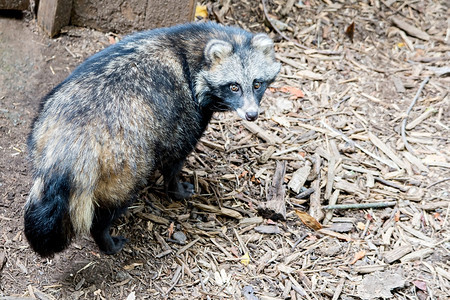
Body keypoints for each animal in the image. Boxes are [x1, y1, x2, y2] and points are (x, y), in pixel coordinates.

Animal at [24, 21, 282, 256]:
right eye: (234, 86)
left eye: (257, 84)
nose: (251, 114)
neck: (195, 47)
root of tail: (71, 140)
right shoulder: (184, 115)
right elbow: (175, 159)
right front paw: (176, 188)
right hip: (123, 165)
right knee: (112, 206)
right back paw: (105, 239)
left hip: (40, 131)